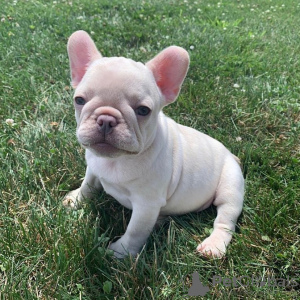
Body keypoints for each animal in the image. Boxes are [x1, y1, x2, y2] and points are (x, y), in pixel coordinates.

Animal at [63, 31, 244, 260]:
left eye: (143, 110)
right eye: (79, 100)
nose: (106, 119)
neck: (116, 161)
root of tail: (231, 154)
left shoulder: (146, 205)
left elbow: (135, 230)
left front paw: (120, 253)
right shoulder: (94, 168)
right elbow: (87, 184)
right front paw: (76, 199)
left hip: (230, 185)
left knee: (225, 219)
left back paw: (213, 245)